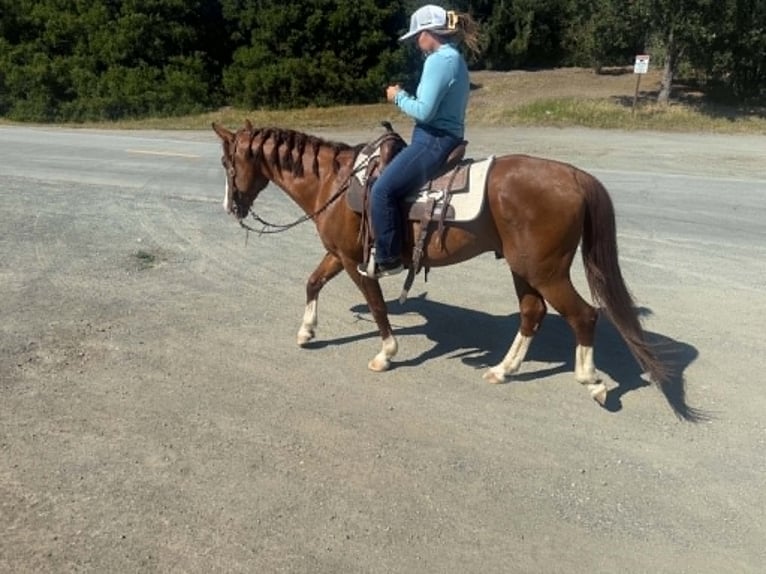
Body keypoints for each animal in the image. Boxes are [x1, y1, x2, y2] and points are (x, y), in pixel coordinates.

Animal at [212, 120, 669, 406]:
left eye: (226, 163)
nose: (230, 207)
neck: (335, 183)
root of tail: (575, 175)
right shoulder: (338, 254)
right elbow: (312, 282)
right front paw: (307, 332)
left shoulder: (357, 261)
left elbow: (377, 306)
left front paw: (386, 353)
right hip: (524, 269)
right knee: (532, 313)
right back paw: (503, 369)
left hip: (546, 271)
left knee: (584, 315)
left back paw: (592, 383)